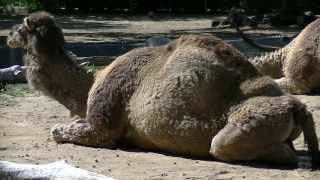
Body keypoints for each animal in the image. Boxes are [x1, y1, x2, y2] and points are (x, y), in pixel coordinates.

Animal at [6, 11, 318, 166]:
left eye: (19, 29)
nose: (7, 36)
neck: (92, 84)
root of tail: (295, 106)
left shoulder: (102, 125)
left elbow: (58, 131)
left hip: (245, 124)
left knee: (227, 145)